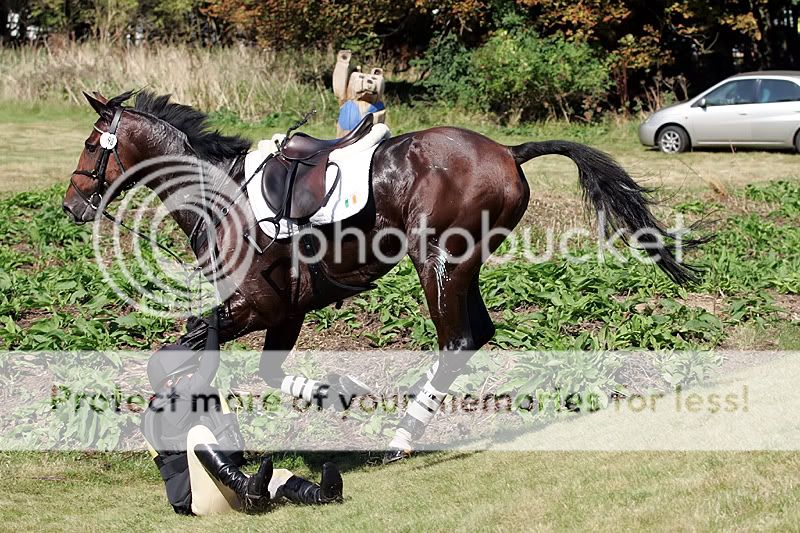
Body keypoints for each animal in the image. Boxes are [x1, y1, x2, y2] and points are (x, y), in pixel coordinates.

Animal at [64, 91, 700, 462]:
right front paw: (332, 394)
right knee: (477, 335)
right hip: (462, 266)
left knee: (456, 341)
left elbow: (168, 361)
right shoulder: (284, 314)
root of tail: (508, 151)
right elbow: (264, 374)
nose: (71, 203)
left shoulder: (252, 308)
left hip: (439, 259)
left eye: (93, 145)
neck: (220, 198)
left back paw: (400, 439)